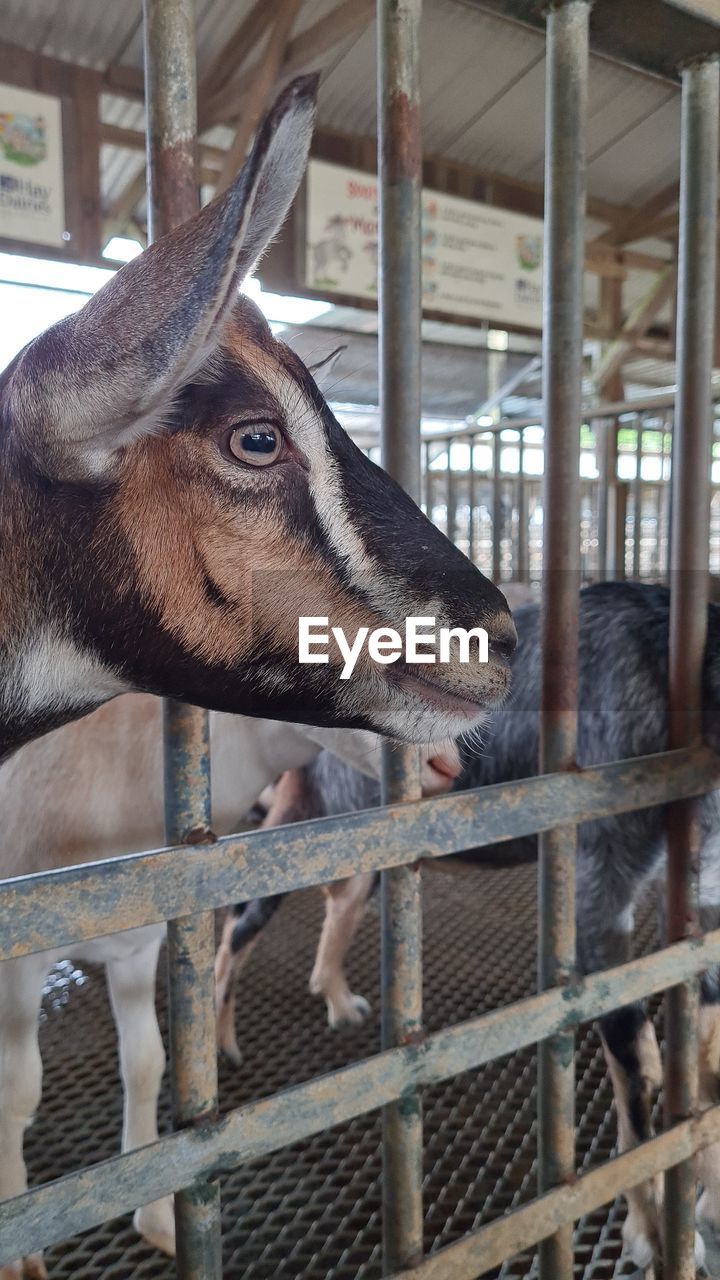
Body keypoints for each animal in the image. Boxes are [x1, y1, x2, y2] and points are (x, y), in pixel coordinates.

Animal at [0, 696, 456, 1274]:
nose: (447, 764)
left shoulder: (137, 942)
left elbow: (145, 1062)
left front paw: (158, 1220)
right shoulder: (18, 961)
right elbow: (17, 1087)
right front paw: (19, 1259)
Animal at [217, 586, 717, 1274]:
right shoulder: (598, 879)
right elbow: (635, 1056)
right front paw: (653, 1229)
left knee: (341, 903)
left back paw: (338, 999)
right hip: (297, 830)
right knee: (238, 924)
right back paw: (217, 1051)